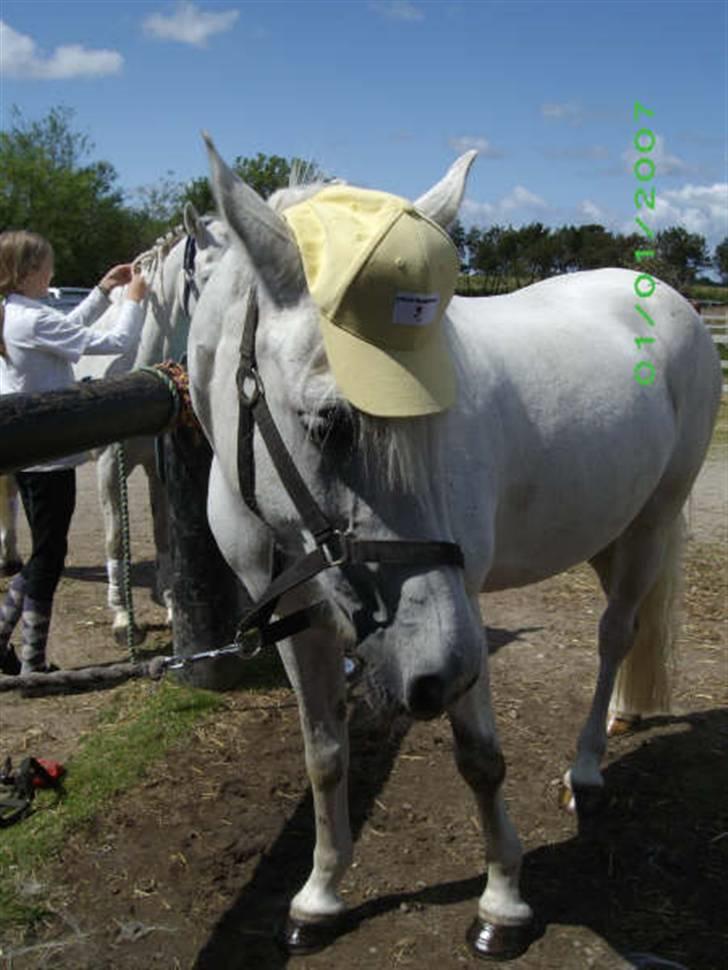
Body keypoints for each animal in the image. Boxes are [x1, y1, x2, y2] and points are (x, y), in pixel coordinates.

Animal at [187, 136, 722, 959]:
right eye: (329, 423)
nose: (445, 673)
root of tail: (668, 298)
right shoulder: (297, 620)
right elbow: (324, 754)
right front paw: (320, 894)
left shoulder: (460, 609)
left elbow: (480, 760)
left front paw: (502, 903)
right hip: (606, 528)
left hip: (651, 526)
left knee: (615, 635)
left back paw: (586, 768)